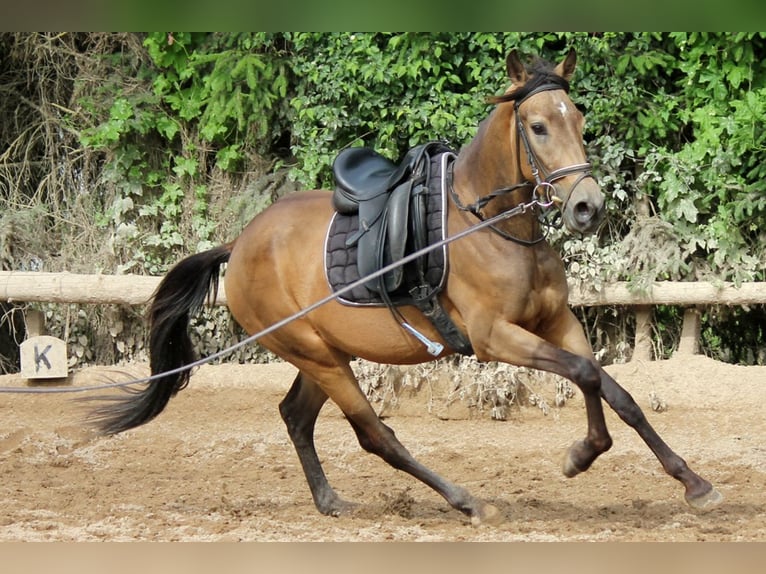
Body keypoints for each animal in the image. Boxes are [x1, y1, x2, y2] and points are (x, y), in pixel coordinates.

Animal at [88, 48, 720, 528]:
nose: (588, 207)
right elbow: (587, 375)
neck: (492, 227)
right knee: (375, 435)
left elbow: (614, 391)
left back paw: (330, 501)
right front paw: (582, 455)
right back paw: (466, 502)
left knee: (297, 417)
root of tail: (238, 246)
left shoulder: (556, 323)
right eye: (539, 127)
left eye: (581, 123)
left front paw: (687, 480)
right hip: (316, 355)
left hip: (324, 353)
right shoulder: (496, 337)